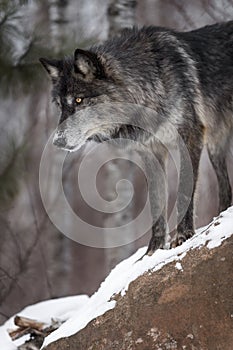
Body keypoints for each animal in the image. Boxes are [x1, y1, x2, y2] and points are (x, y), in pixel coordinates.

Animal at [39, 21, 233, 256]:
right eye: (60, 105)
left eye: (78, 100)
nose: (57, 141)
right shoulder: (150, 150)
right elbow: (156, 202)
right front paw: (154, 249)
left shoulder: (190, 136)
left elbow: (184, 192)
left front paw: (183, 235)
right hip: (215, 145)